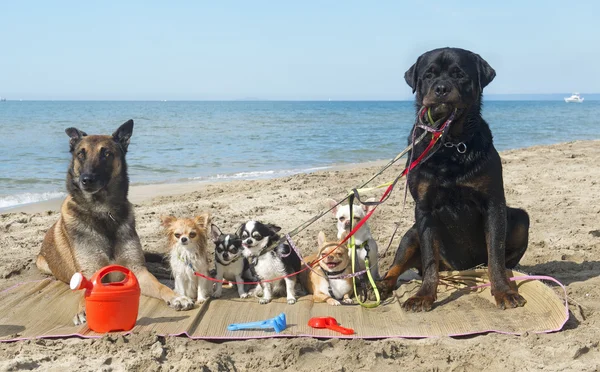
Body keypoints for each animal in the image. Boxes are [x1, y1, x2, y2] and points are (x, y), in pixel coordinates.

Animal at [36, 120, 195, 324]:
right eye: (81, 154)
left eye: (106, 154)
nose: (86, 180)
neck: (102, 211)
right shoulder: (91, 272)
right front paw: (83, 310)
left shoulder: (138, 271)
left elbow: (160, 286)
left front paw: (177, 296)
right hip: (43, 264)